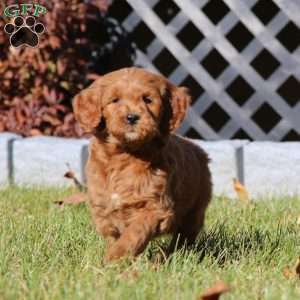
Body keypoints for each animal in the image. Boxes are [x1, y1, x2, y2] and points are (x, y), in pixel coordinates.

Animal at [72, 67, 211, 262]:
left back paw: (166, 258)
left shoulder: (154, 207)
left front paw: (116, 257)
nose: (132, 117)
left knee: (183, 239)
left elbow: (135, 233)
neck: (125, 154)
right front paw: (114, 255)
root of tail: (198, 149)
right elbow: (113, 235)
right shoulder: (103, 208)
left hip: (195, 210)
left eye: (148, 100)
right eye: (115, 100)